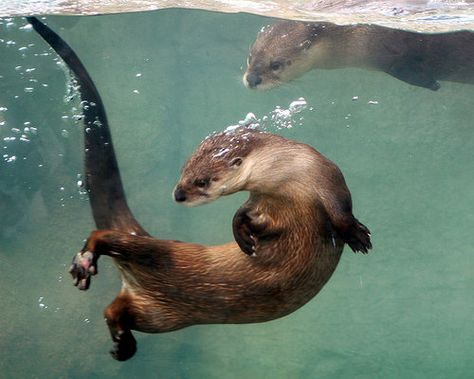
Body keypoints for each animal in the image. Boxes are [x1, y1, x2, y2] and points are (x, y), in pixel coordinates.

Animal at [27, 17, 372, 362]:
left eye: (202, 181)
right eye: (183, 171)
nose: (178, 195)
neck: (288, 181)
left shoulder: (324, 176)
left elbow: (340, 209)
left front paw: (356, 235)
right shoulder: (264, 200)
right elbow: (245, 214)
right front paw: (242, 235)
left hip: (159, 307)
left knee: (115, 304)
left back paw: (119, 338)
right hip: (165, 266)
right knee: (110, 247)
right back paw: (87, 269)